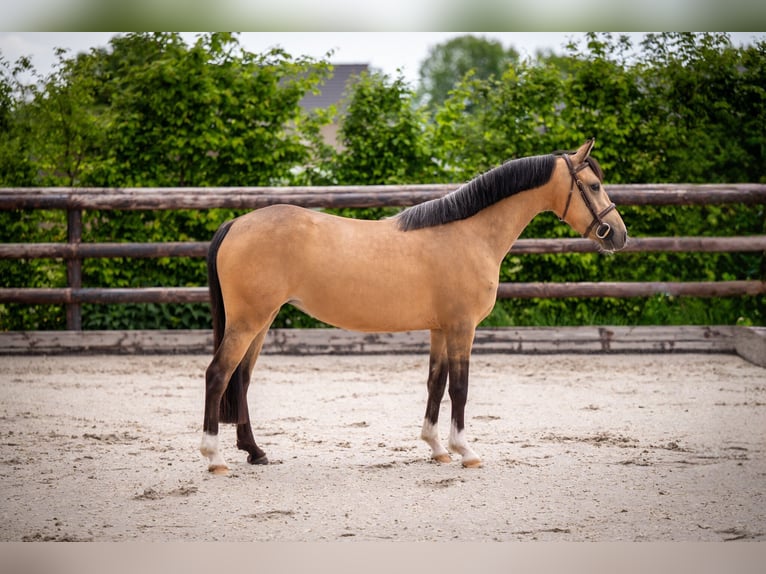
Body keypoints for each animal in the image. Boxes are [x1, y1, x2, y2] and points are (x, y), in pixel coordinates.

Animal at [201, 140, 628, 472]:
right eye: (593, 185)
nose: (619, 235)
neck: (469, 234)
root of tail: (236, 223)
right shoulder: (462, 327)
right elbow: (460, 387)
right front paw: (465, 450)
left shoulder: (440, 328)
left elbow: (435, 384)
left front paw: (437, 448)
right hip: (248, 321)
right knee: (218, 374)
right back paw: (214, 457)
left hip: (262, 320)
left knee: (241, 379)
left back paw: (255, 452)